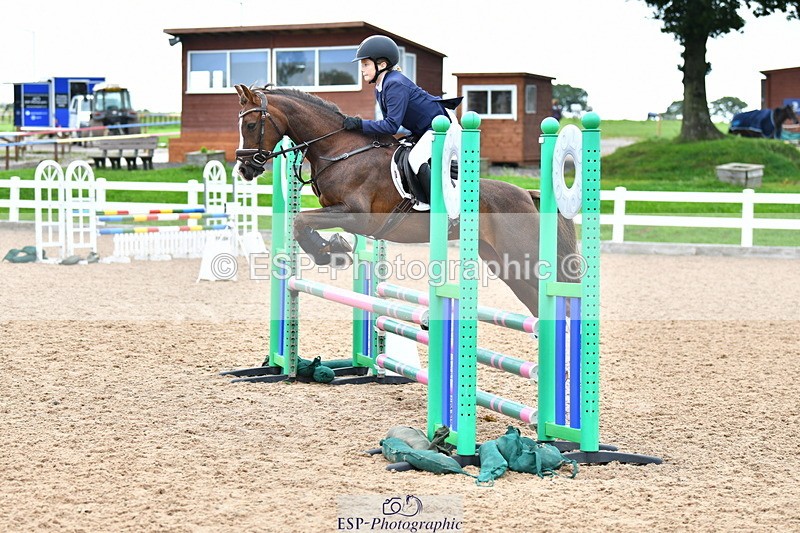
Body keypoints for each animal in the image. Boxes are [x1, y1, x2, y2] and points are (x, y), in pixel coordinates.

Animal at [233, 84, 579, 317]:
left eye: (250, 125)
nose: (245, 168)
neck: (339, 150)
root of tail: (527, 195)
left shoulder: (356, 215)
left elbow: (301, 219)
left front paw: (330, 252)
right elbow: (301, 222)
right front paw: (334, 248)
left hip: (523, 255)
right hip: (503, 262)